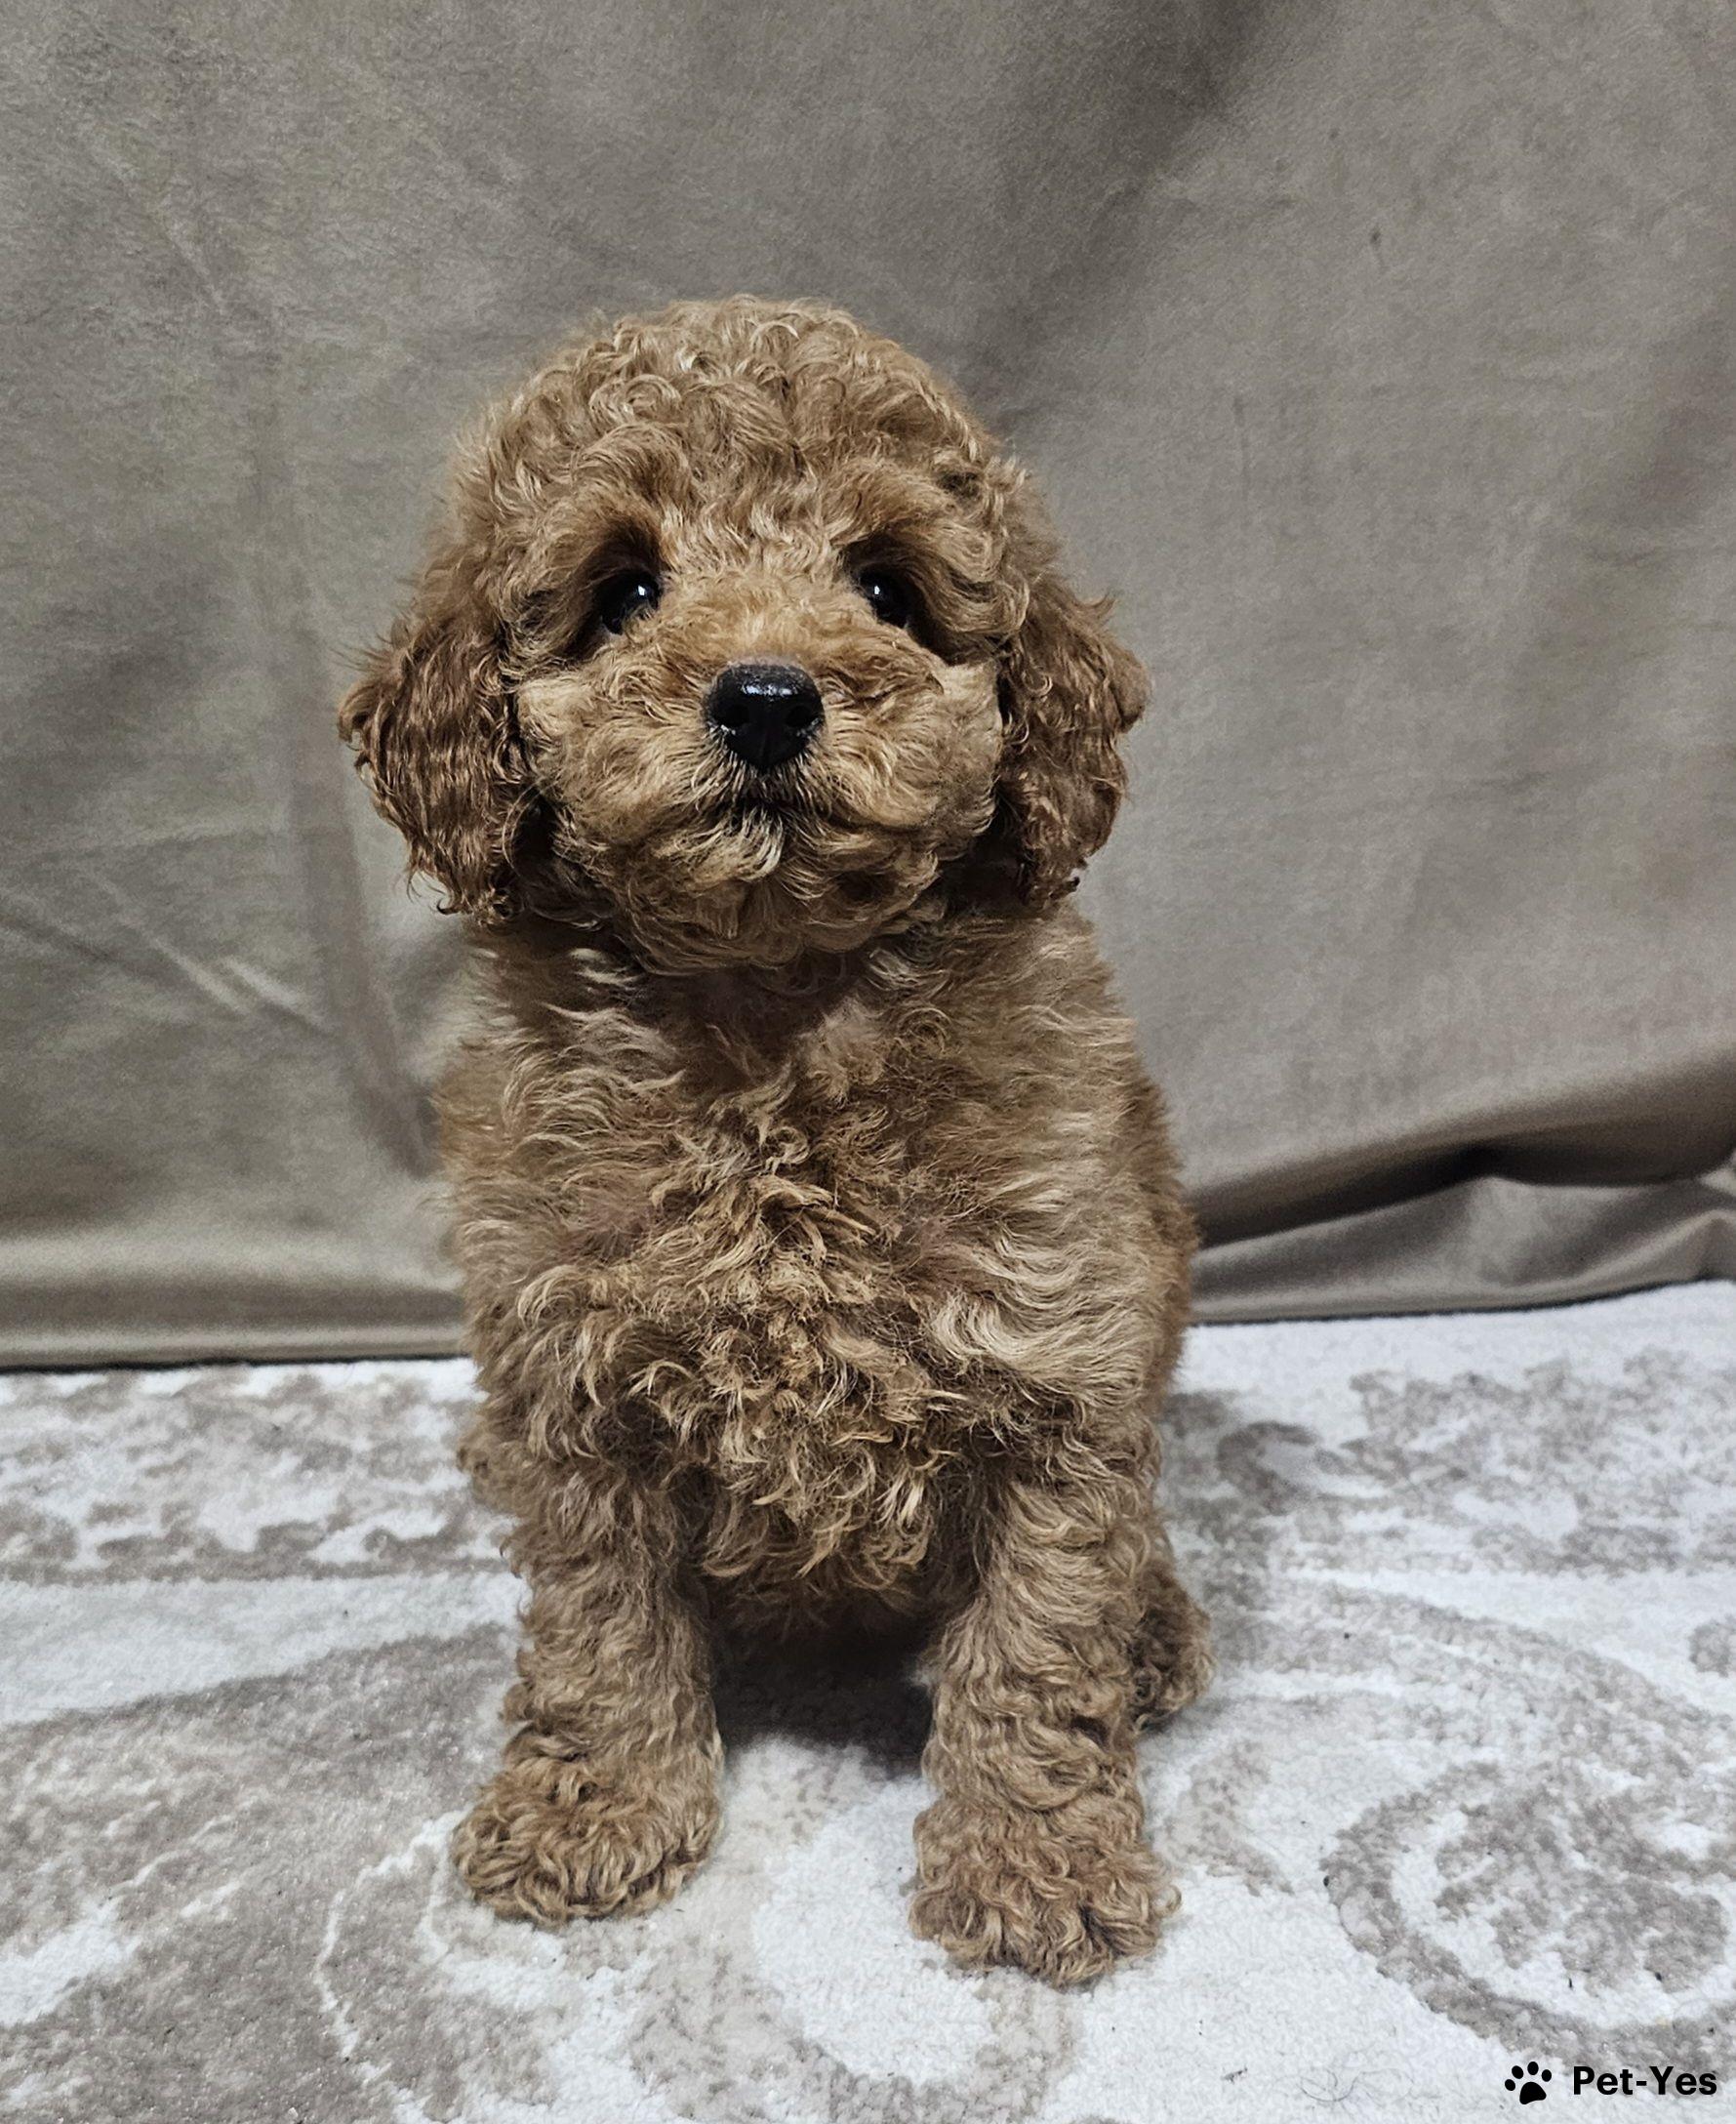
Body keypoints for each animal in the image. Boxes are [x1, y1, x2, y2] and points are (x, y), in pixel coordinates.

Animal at [339, 296, 1210, 1985]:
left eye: (887, 587)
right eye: (623, 590)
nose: (761, 698)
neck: (775, 1020)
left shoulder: (1058, 1365)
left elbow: (1038, 1640)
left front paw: (1034, 1857)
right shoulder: (570, 1377)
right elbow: (597, 1625)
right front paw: (596, 1804)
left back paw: (1154, 1632)